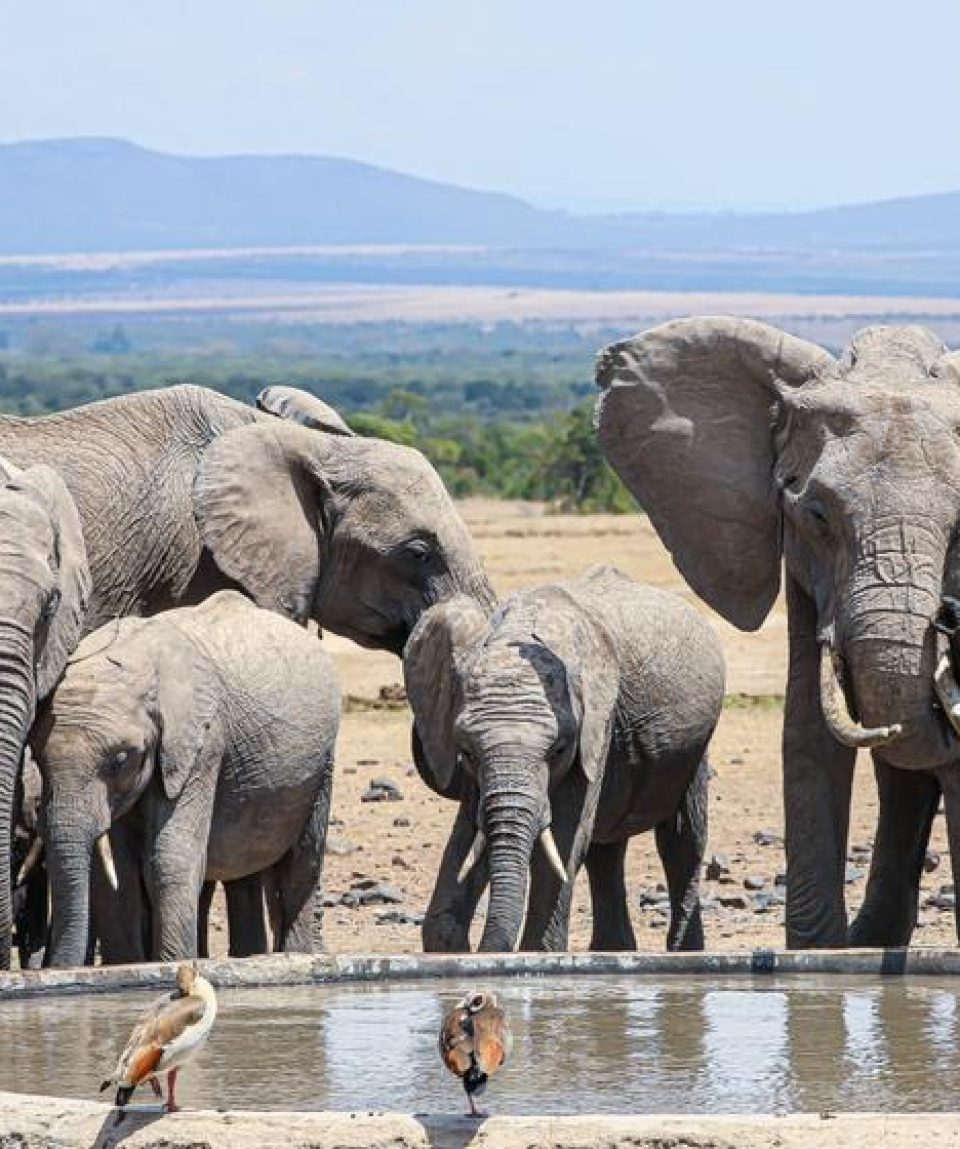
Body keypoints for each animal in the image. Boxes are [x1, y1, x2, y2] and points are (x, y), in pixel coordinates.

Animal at [32, 588, 342, 965]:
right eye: (36, 758)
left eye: (119, 760)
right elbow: (118, 875)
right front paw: (130, 967)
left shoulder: (203, 743)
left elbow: (170, 857)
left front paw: (172, 965)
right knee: (245, 871)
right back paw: (249, 956)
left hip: (322, 762)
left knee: (301, 862)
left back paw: (295, 956)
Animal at [401, 565, 725, 951]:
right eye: (466, 752)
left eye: (557, 750)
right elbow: (471, 832)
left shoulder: (595, 725)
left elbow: (563, 842)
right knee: (605, 852)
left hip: (695, 748)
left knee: (681, 843)